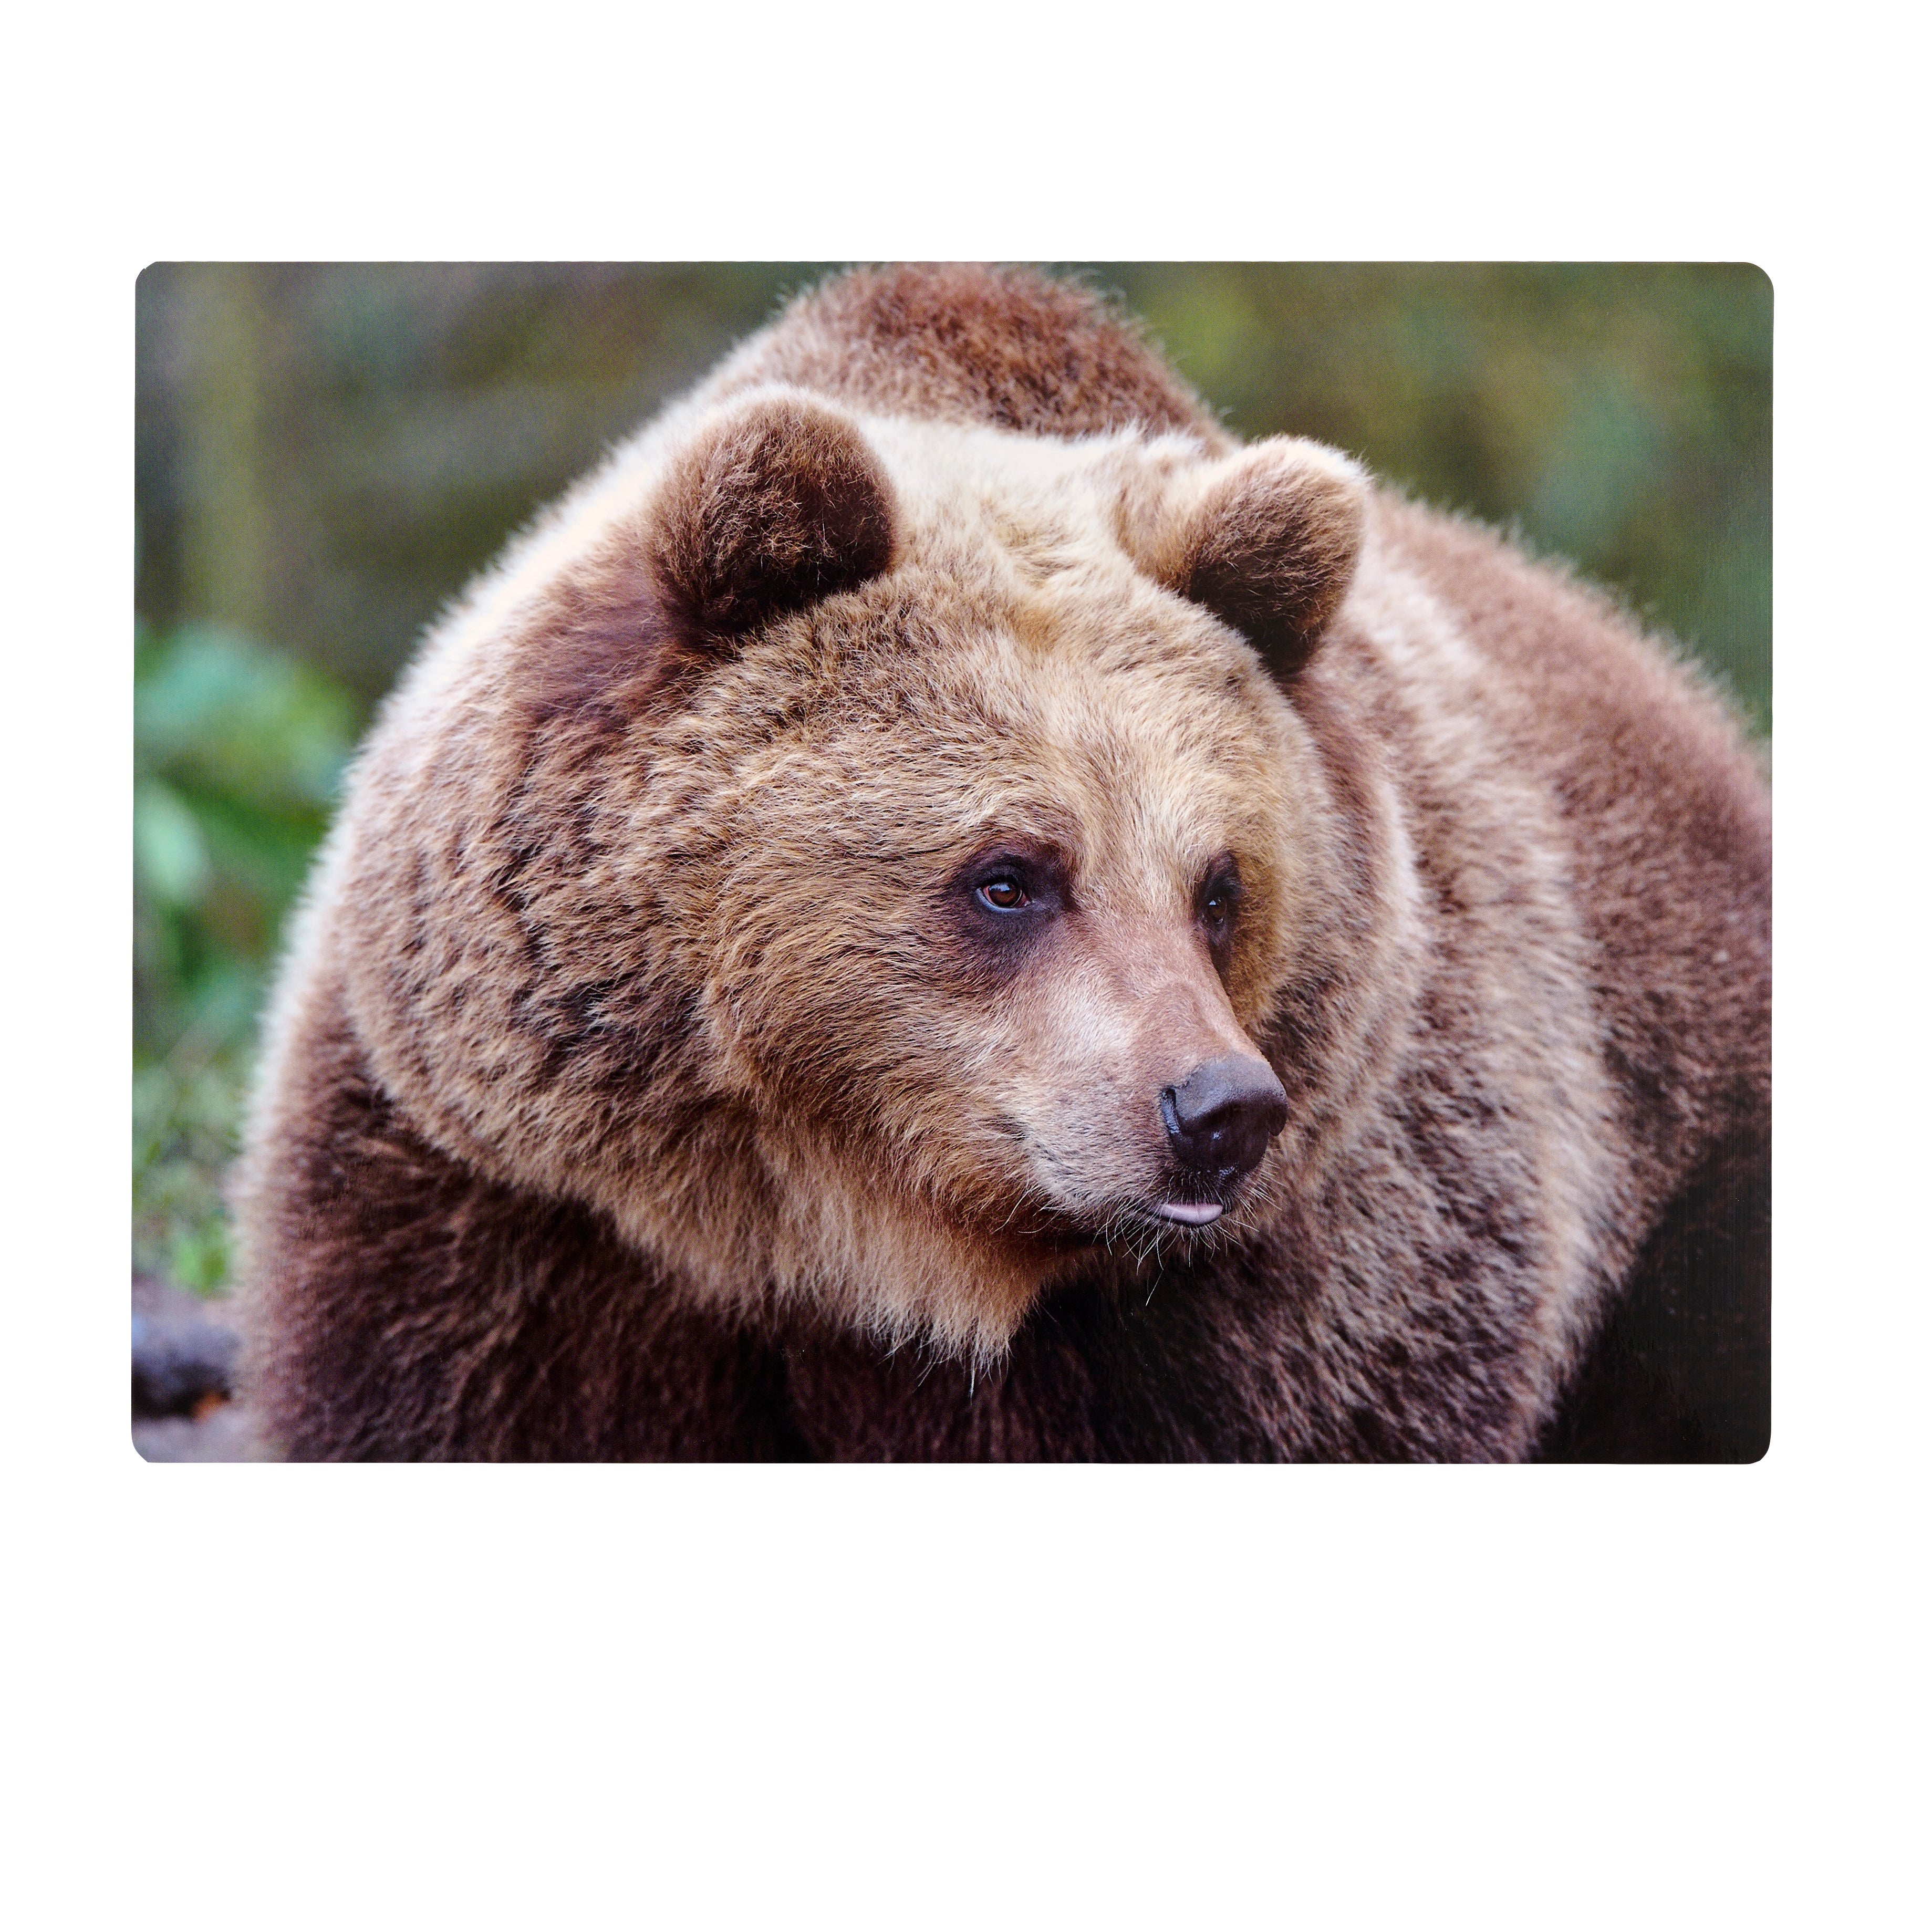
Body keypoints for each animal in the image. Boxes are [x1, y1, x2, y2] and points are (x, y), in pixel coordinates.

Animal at [232, 263, 1771, 1461]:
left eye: (1218, 886)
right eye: (1009, 874)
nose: (1214, 1108)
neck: (853, 1246)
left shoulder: (1309, 1273)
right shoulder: (515, 1208)